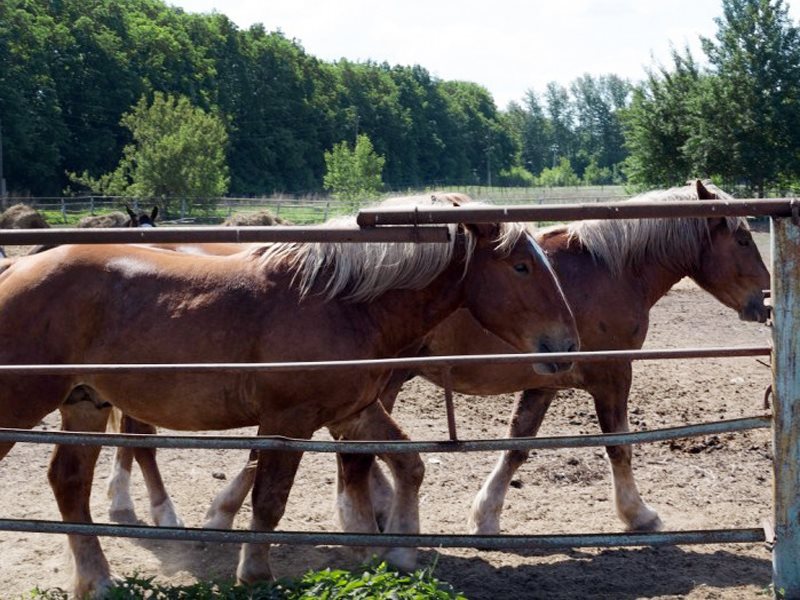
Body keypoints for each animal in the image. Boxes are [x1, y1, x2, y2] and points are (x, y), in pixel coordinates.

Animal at [0, 192, 580, 596]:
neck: (342, 301)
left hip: (85, 404)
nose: (568, 345)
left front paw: (398, 551)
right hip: (22, 408)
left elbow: (406, 462)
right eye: (521, 266)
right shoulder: (290, 421)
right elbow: (270, 498)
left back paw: (98, 580)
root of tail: (17, 266)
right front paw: (255, 573)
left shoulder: (351, 413)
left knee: (69, 484)